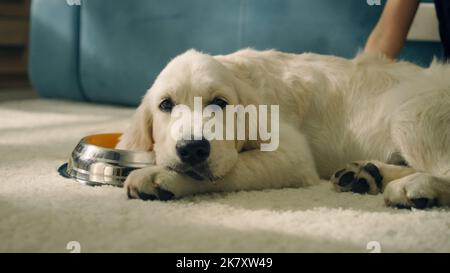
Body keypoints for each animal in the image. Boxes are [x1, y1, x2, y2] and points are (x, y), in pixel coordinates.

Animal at [117, 47, 450, 207]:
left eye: (220, 103)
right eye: (165, 105)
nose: (193, 149)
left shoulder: (292, 155)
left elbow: (234, 169)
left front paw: (160, 176)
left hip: (412, 114)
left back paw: (416, 186)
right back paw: (365, 174)